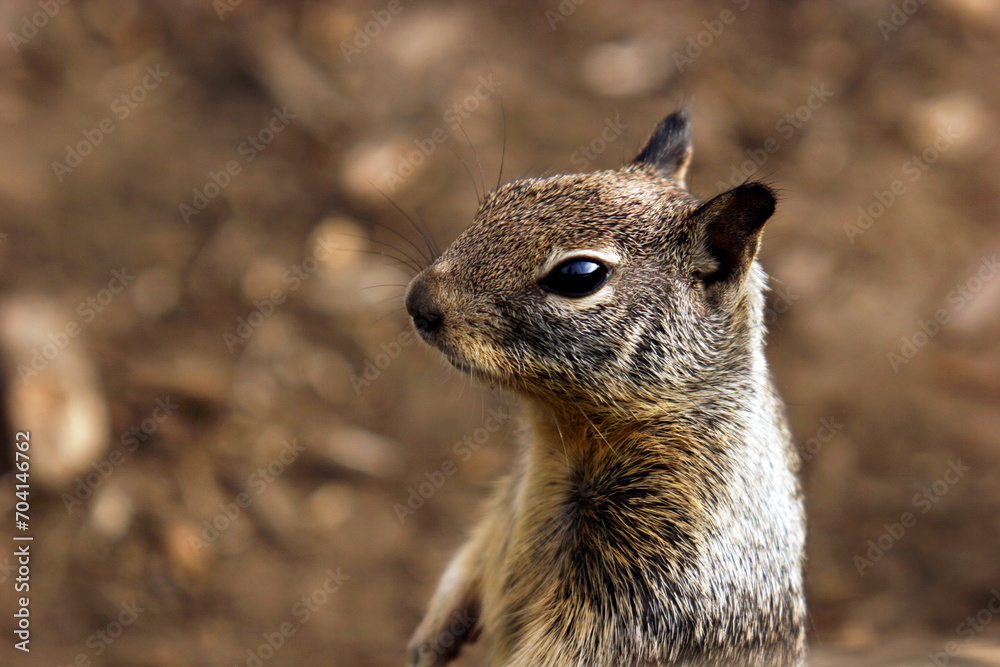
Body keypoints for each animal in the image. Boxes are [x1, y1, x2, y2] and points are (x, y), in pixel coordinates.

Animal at [403, 109, 807, 667]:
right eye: (502, 196)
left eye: (579, 275)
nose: (418, 301)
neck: (564, 429)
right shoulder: (509, 497)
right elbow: (474, 554)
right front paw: (430, 638)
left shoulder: (650, 588)